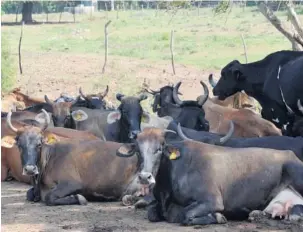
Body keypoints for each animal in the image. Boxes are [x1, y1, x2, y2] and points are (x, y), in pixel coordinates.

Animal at [116, 128, 303, 226]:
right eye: (137, 149)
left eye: (160, 148)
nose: (145, 177)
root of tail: (291, 154)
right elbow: (152, 213)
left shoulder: (212, 200)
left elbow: (185, 215)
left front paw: (218, 217)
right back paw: (257, 214)